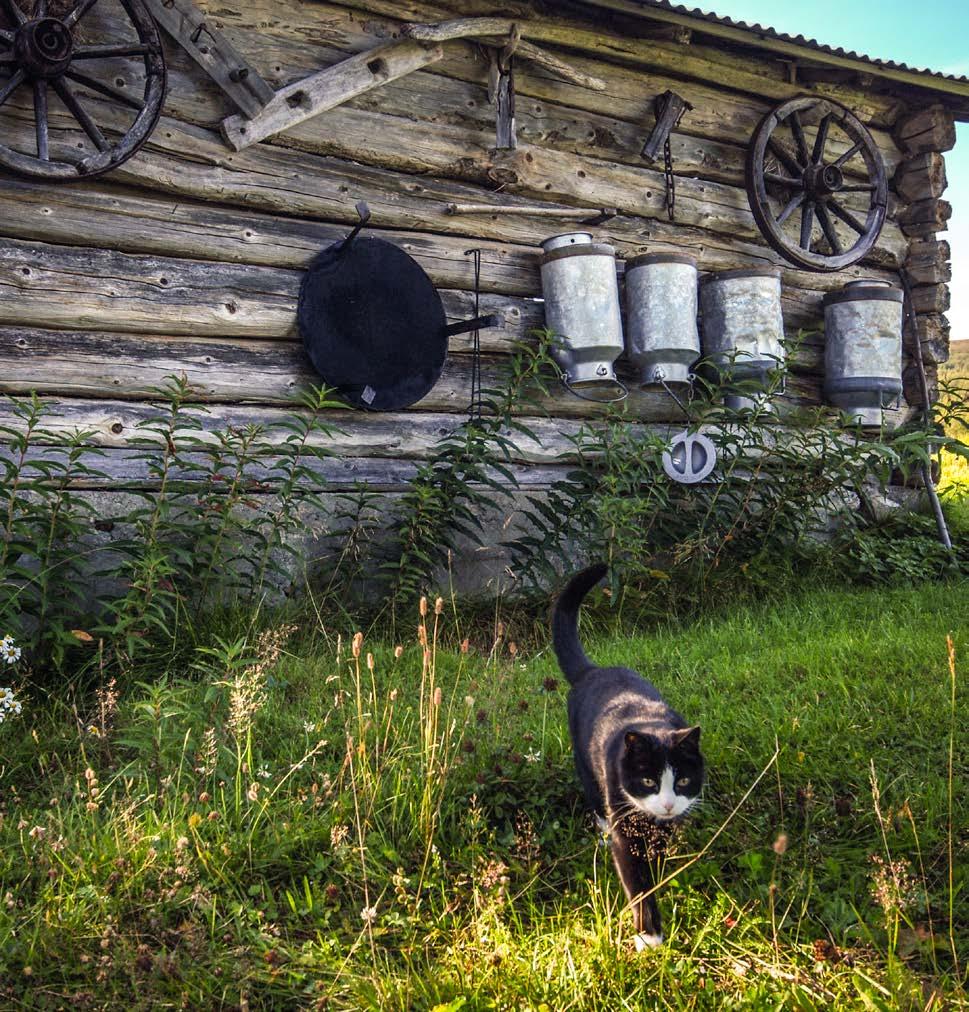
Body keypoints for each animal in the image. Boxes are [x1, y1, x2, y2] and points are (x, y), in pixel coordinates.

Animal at [554, 562, 703, 947]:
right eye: (648, 780)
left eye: (683, 780)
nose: (667, 804)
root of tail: (593, 671)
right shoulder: (625, 823)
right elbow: (635, 878)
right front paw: (649, 934)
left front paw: (659, 869)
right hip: (585, 762)